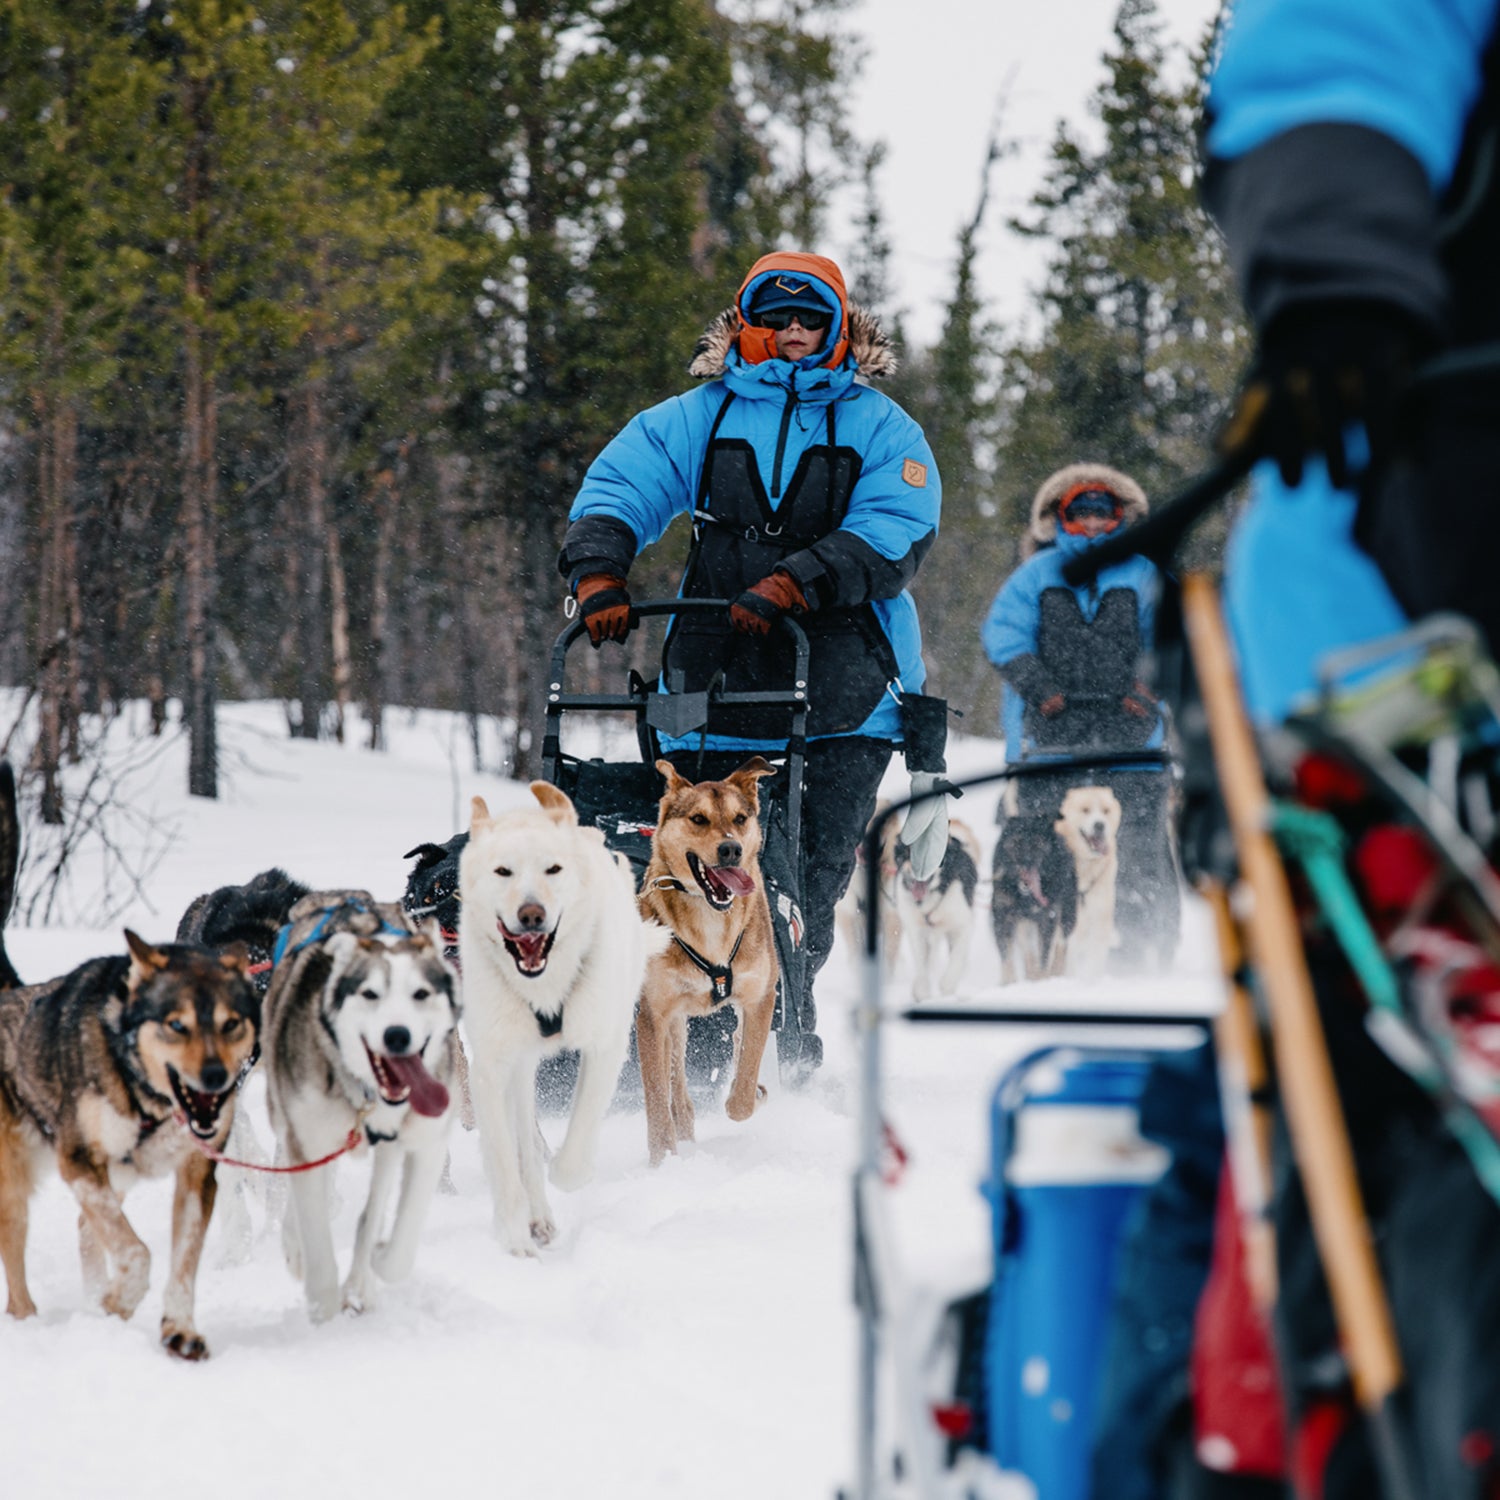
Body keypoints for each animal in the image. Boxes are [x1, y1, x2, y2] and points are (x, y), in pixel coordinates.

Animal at [0, 924, 258, 1362]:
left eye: (231, 1024)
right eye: (177, 1025)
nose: (215, 1076)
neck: (149, 1096)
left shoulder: (196, 1175)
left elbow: (183, 1263)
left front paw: (179, 1329)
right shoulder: (78, 1160)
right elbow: (137, 1253)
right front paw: (116, 1302)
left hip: (117, 1175)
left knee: (86, 1225)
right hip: (16, 1190)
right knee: (19, 1272)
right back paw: (32, 1319)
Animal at [262, 894, 462, 1320]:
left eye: (421, 994)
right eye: (370, 994)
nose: (397, 1035)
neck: (367, 1096)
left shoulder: (427, 1141)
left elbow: (395, 1241)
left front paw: (375, 1264)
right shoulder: (306, 1135)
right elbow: (315, 1231)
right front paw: (322, 1300)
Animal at [459, 780, 666, 1260]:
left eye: (553, 869)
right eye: (503, 872)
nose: (531, 914)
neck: (545, 987)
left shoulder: (606, 1047)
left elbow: (579, 1134)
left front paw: (570, 1174)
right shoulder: (491, 1067)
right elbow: (505, 1157)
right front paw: (514, 1235)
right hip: (518, 1067)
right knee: (523, 1143)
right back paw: (535, 1215)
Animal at [636, 756, 780, 1164]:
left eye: (740, 818)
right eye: (698, 818)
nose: (730, 849)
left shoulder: (761, 995)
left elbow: (747, 1072)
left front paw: (745, 1097)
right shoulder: (653, 1014)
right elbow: (657, 1098)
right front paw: (661, 1162)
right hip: (673, 1022)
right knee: (676, 1086)